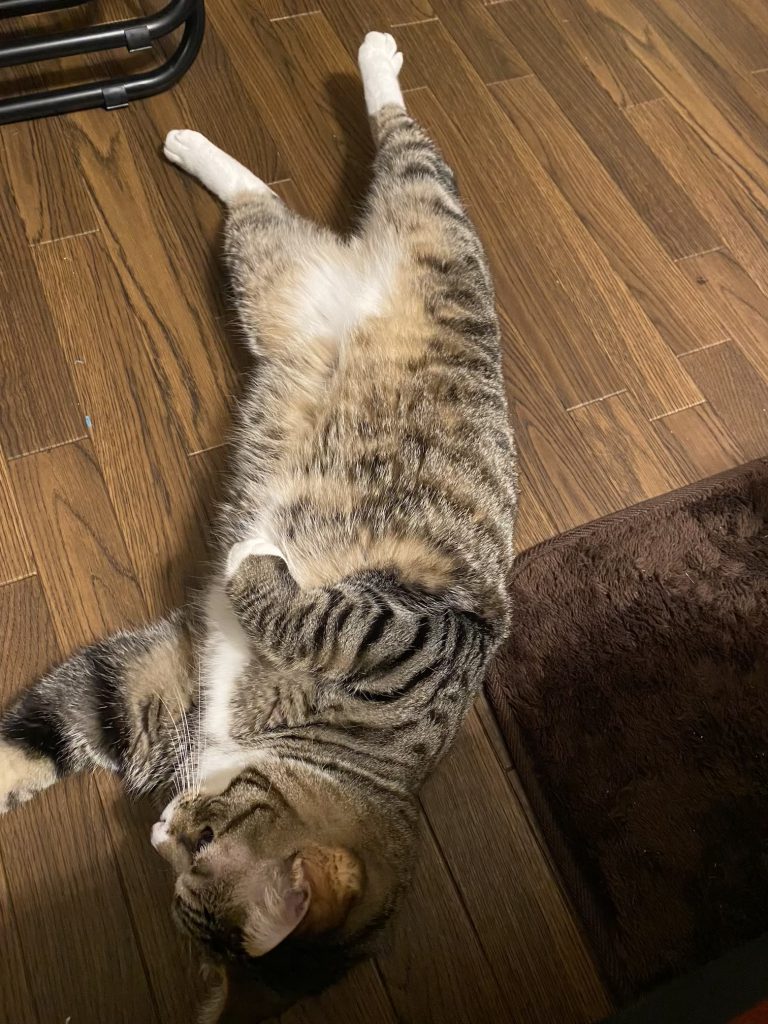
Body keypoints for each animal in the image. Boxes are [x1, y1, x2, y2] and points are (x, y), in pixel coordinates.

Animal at [0, 31, 517, 1024]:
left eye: (191, 848)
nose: (162, 826)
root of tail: (348, 266)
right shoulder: (408, 640)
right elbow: (323, 611)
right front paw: (255, 551)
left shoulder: (158, 688)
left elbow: (49, 730)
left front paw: (248, 554)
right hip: (438, 230)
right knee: (399, 144)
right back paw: (360, 65)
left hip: (271, 274)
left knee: (260, 206)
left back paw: (196, 145)